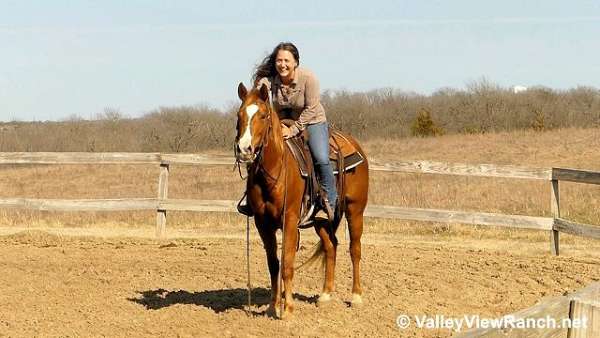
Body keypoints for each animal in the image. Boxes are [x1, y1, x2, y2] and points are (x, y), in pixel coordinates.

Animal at [236, 82, 370, 320]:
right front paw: (272, 306)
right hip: (321, 220)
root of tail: (355, 145)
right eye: (239, 114)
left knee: (355, 249)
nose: (244, 150)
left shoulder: (289, 219)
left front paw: (288, 309)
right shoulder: (262, 222)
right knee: (331, 246)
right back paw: (325, 295)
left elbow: (287, 262)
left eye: (263, 115)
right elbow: (273, 264)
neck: (275, 169)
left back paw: (356, 297)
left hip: (356, 210)